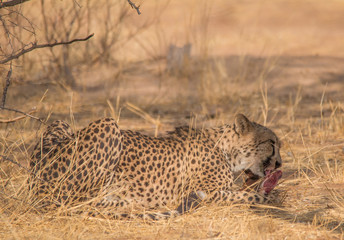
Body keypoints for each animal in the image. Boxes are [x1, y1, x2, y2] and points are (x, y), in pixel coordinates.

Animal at [28, 114, 282, 219]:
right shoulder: (208, 193)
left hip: (60, 123)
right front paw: (272, 197)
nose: (280, 163)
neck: (227, 148)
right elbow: (247, 196)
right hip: (108, 125)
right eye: (272, 143)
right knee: (79, 200)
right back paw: (127, 202)